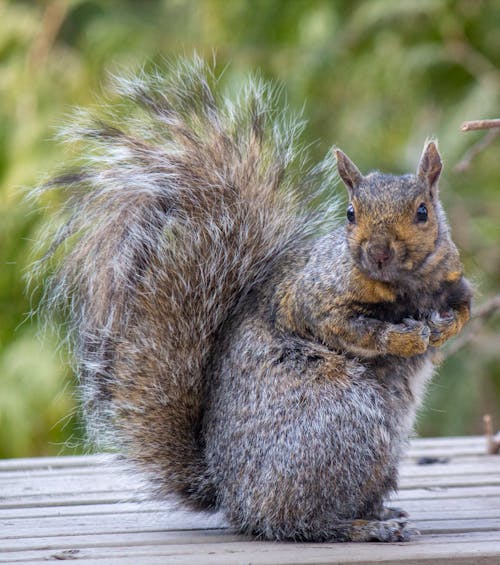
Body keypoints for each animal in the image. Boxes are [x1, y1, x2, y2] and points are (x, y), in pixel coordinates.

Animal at [40, 57, 472, 540]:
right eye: (350, 214)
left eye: (423, 213)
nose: (376, 253)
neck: (403, 286)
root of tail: (231, 494)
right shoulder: (313, 295)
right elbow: (349, 328)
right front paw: (405, 338)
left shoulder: (453, 281)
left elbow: (463, 308)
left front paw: (444, 327)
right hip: (336, 425)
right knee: (298, 520)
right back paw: (360, 528)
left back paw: (378, 514)